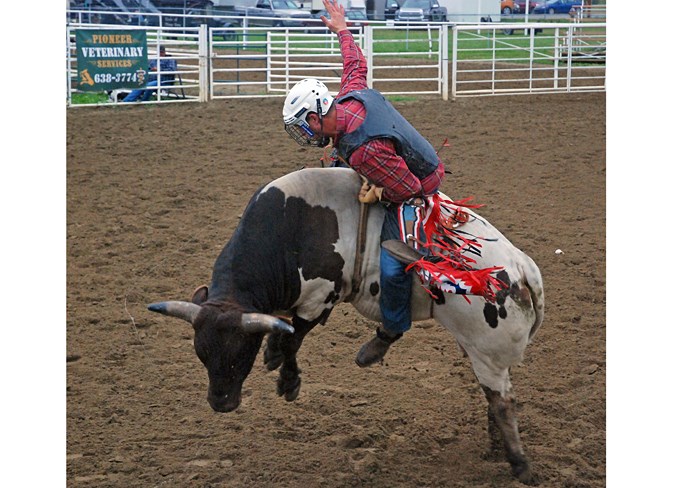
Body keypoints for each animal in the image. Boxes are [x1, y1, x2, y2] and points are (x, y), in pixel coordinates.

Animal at [148, 168, 544, 484]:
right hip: (485, 354)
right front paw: (274, 353)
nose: (220, 403)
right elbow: (285, 333)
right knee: (494, 398)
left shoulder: (319, 297)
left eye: (240, 354)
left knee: (503, 403)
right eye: (201, 354)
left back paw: (520, 465)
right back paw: (495, 450)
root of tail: (522, 268)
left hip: (487, 353)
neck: (290, 228)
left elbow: (294, 338)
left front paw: (288, 380)